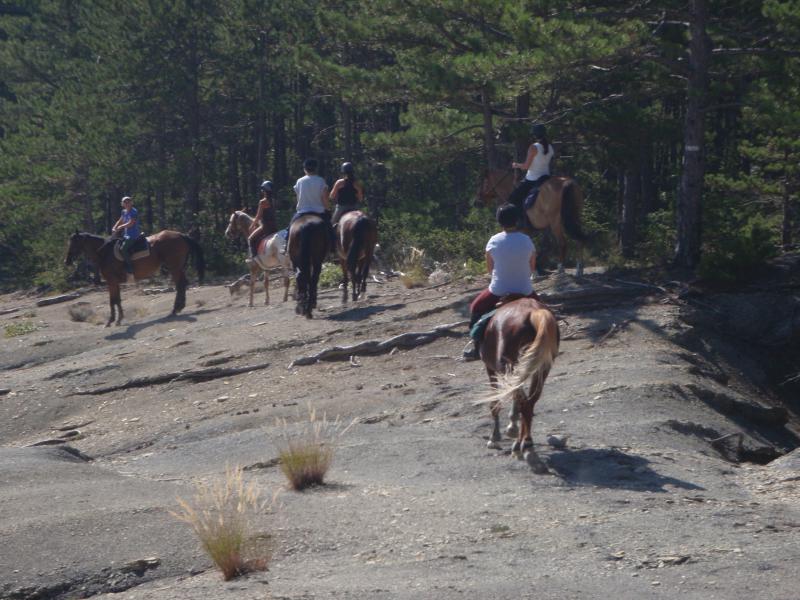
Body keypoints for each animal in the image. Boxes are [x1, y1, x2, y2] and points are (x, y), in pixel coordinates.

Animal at [65, 230, 205, 326]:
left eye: (74, 242)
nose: (67, 261)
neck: (104, 253)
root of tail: (181, 235)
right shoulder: (115, 283)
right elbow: (117, 300)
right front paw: (119, 319)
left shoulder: (111, 281)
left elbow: (112, 300)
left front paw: (111, 321)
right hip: (176, 268)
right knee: (182, 284)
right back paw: (179, 308)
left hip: (174, 267)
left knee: (180, 285)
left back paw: (175, 309)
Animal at [478, 298, 560, 472]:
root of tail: (534, 312)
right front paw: (512, 428)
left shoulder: (491, 369)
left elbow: (495, 403)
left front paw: (494, 437)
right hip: (541, 367)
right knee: (529, 403)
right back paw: (525, 447)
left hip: (508, 366)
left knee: (523, 401)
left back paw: (521, 446)